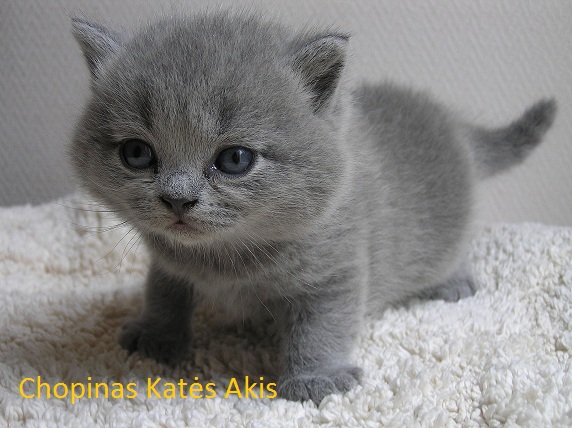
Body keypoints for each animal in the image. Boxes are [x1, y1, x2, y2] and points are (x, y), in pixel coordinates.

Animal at [69, 12, 556, 404]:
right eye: (136, 153)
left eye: (234, 159)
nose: (177, 198)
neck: (224, 257)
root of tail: (458, 128)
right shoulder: (169, 262)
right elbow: (163, 291)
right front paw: (156, 336)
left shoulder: (334, 273)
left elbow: (321, 328)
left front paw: (315, 379)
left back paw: (453, 282)